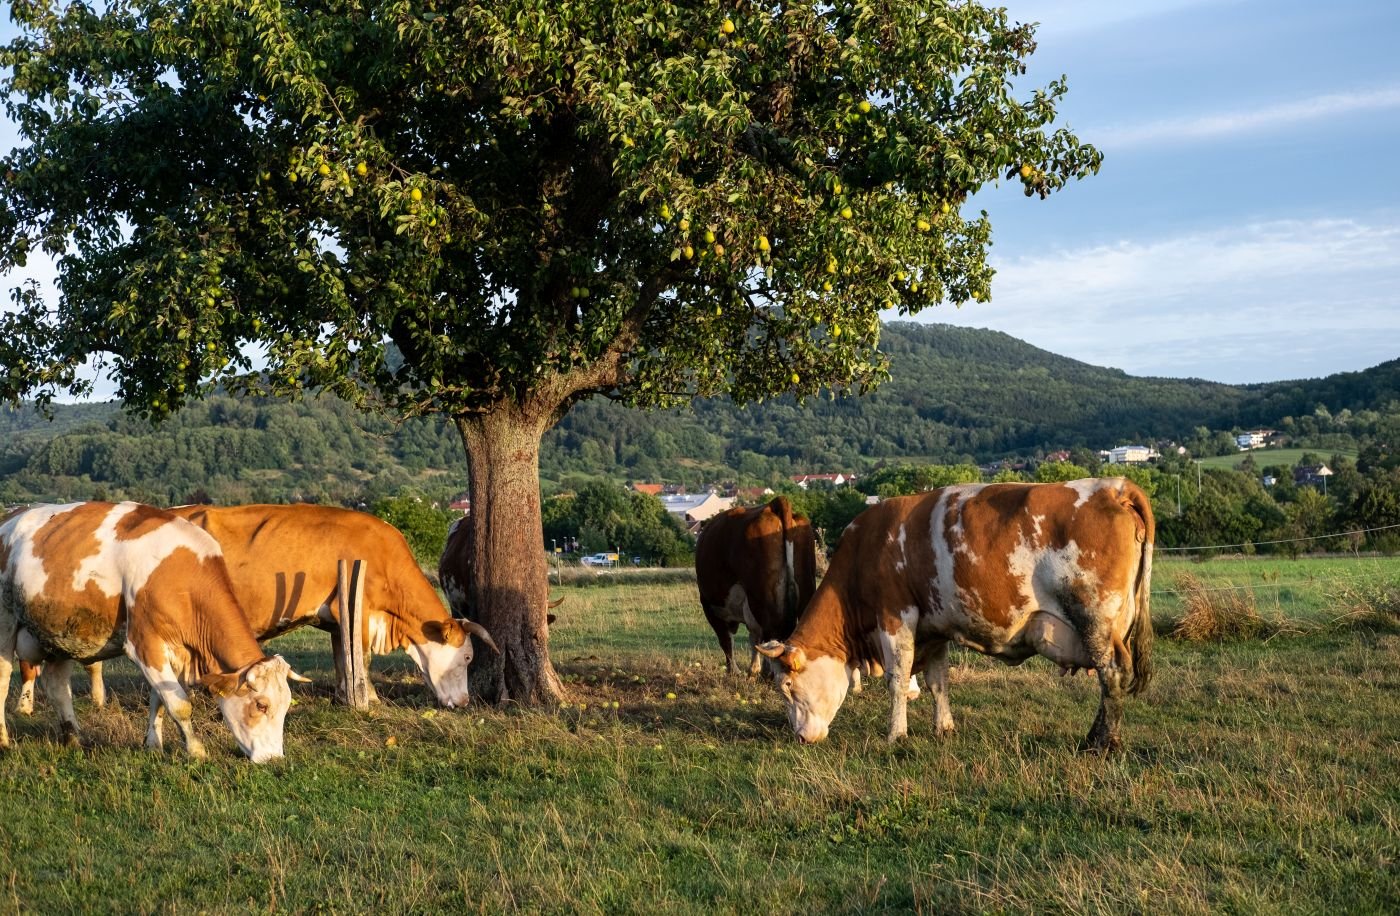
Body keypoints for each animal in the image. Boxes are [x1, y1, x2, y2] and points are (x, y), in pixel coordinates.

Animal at [0, 502, 303, 762]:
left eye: (286, 705)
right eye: (261, 705)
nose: (274, 758)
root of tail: (11, 516)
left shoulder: (173, 650)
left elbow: (160, 699)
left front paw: (153, 744)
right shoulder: (144, 644)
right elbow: (180, 704)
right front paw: (196, 750)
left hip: (58, 633)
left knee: (57, 686)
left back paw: (73, 738)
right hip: (6, 623)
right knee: (4, 679)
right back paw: (4, 741)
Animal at [167, 503, 498, 708]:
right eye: (467, 657)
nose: (465, 702)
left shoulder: (338, 618)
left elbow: (343, 658)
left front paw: (344, 696)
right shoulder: (358, 612)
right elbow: (362, 658)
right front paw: (370, 699)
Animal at [694, 497, 818, 677]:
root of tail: (773, 505)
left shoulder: (710, 607)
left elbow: (727, 641)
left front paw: (734, 671)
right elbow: (754, 640)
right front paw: (753, 669)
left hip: (762, 599)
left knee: (770, 634)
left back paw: (768, 674)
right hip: (806, 588)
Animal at [758, 479, 1154, 753]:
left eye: (786, 685)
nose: (800, 738)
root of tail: (1114, 486)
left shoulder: (895, 616)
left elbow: (897, 680)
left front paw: (895, 735)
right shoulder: (934, 629)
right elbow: (938, 682)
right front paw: (944, 728)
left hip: (1095, 620)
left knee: (1112, 675)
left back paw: (1101, 742)